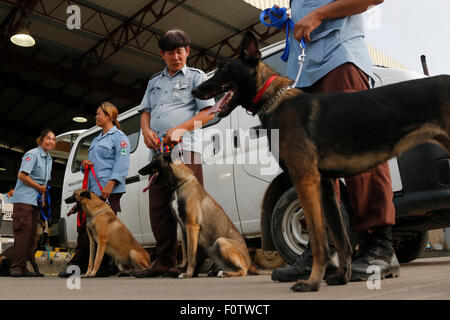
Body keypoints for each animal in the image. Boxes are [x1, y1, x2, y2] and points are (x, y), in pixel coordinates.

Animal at [139, 154, 270, 278]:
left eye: (153, 160)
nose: (139, 171)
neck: (180, 184)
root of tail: (249, 262)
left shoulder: (192, 226)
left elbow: (191, 254)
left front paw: (188, 274)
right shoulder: (183, 228)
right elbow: (185, 252)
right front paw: (183, 268)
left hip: (221, 241)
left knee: (243, 271)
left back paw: (224, 273)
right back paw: (217, 271)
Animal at [192, 31, 450, 292]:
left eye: (224, 68)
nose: (195, 91)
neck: (274, 99)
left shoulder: (305, 180)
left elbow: (318, 239)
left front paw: (312, 282)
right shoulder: (326, 187)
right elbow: (339, 238)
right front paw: (341, 277)